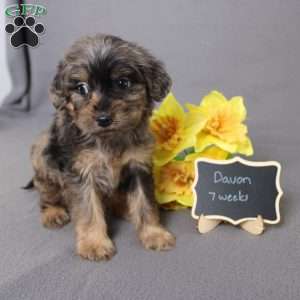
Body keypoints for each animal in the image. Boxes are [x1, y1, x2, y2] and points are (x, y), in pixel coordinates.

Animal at [29, 34, 176, 260]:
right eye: (81, 88)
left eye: (123, 83)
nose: (104, 119)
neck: (109, 139)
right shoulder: (81, 174)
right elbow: (89, 211)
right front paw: (94, 243)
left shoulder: (138, 166)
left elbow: (145, 203)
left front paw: (153, 233)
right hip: (43, 159)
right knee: (47, 195)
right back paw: (53, 212)